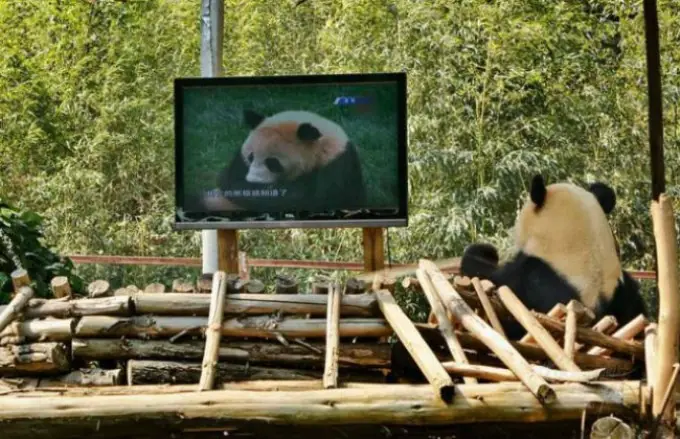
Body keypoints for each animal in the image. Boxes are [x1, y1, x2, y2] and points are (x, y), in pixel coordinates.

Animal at [202, 109, 366, 214]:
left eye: (272, 162)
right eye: (250, 157)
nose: (253, 181)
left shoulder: (336, 165)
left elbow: (302, 198)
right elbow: (230, 178)